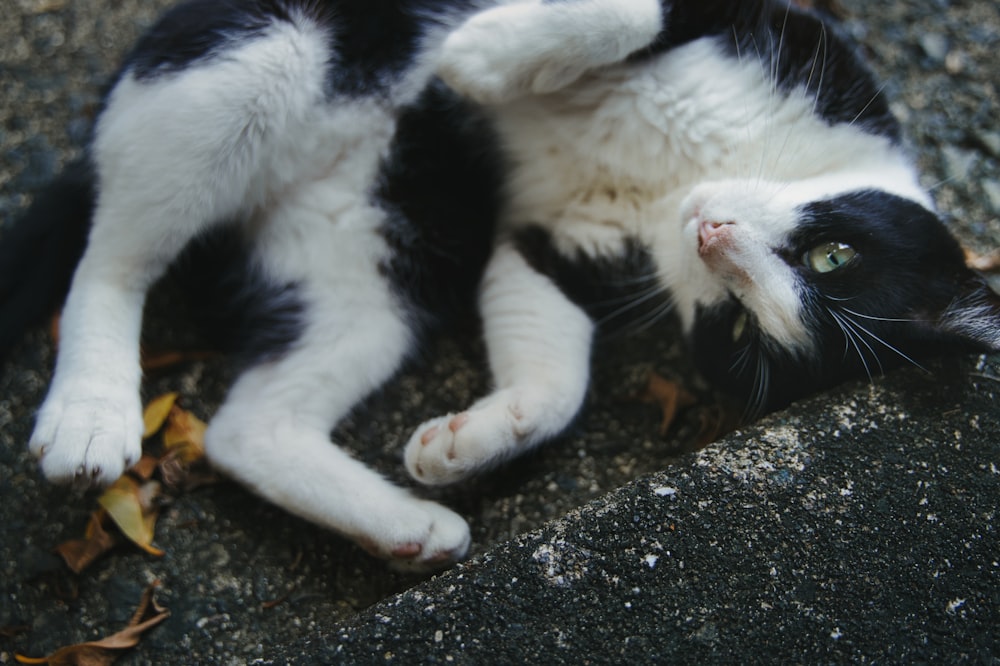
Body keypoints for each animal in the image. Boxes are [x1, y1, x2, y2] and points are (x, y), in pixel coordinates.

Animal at [1, 0, 1000, 572]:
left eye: (741, 327)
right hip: (252, 56)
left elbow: (555, 376)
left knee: (246, 426)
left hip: (382, 262)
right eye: (834, 256)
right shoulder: (781, 27)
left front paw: (477, 439)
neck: (692, 176)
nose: (711, 235)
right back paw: (91, 415)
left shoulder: (554, 246)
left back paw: (409, 528)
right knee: (110, 257)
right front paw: (477, 58)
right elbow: (628, 12)